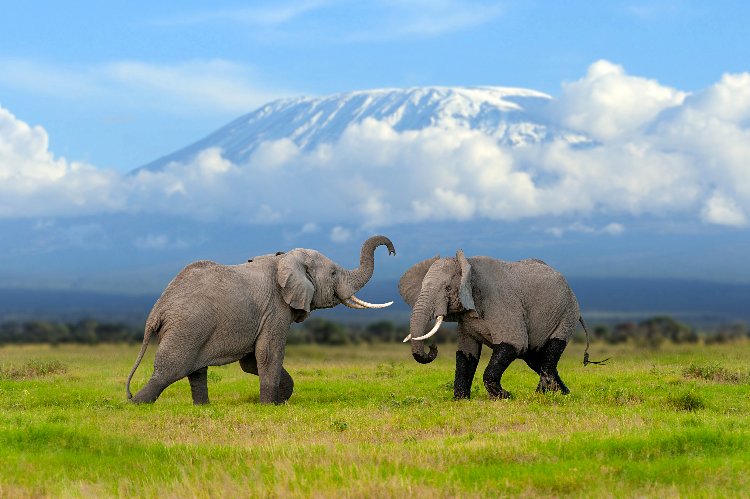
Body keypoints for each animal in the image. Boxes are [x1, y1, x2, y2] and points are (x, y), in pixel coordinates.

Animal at [126, 235, 396, 405]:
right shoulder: (275, 309)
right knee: (169, 371)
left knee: (196, 372)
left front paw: (279, 399)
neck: (285, 258)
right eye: (332, 273)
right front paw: (269, 405)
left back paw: (202, 407)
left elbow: (251, 362)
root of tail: (157, 309)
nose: (392, 251)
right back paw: (136, 404)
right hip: (187, 327)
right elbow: (268, 354)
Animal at [399, 250, 603, 400]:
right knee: (535, 357)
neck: (467, 265)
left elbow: (514, 343)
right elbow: (467, 353)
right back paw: (563, 393)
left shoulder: (501, 303)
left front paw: (505, 396)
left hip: (567, 313)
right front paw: (461, 399)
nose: (432, 347)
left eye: (448, 288)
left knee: (551, 350)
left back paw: (542, 395)